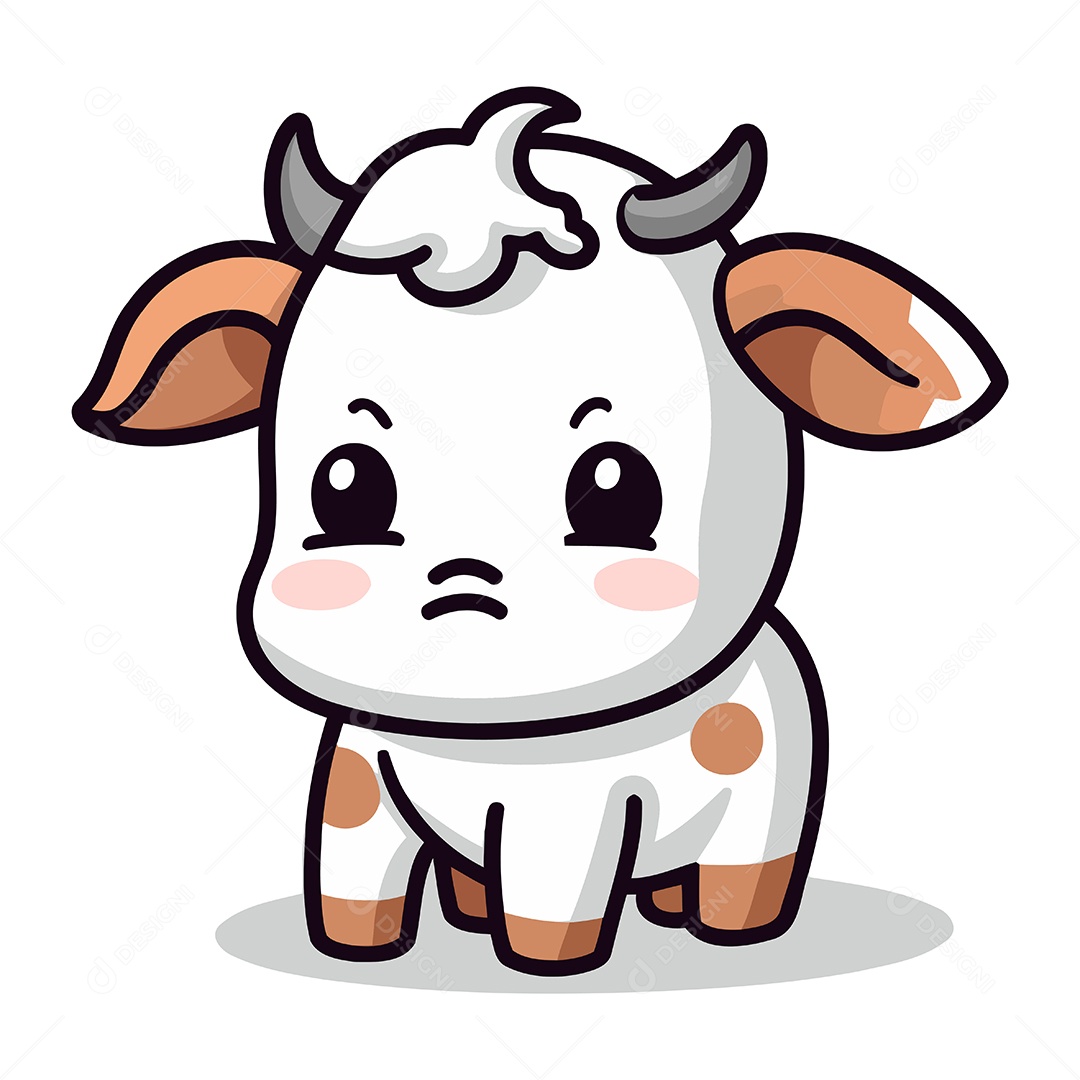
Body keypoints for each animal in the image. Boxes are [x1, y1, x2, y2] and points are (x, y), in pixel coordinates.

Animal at [73, 87, 1006, 977]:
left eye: (616, 490)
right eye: (344, 485)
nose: (460, 580)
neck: (478, 740)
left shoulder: (568, 814)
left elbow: (552, 898)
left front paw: (542, 965)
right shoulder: (355, 778)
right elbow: (350, 877)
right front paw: (356, 947)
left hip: (771, 799)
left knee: (745, 868)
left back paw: (723, 929)